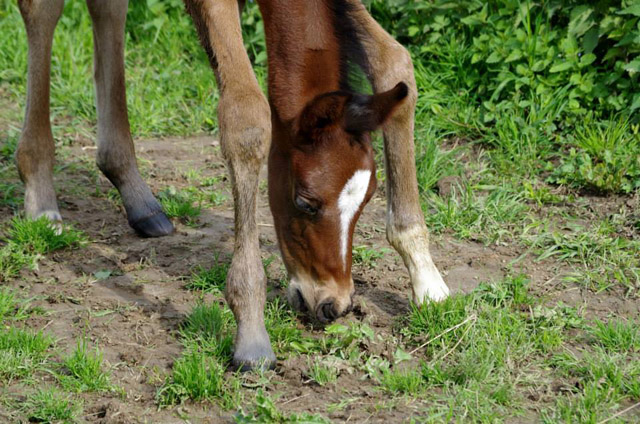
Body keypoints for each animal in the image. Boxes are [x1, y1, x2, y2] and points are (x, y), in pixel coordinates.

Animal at [13, 0, 444, 372]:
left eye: (368, 200)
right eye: (305, 202)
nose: (333, 304)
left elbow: (396, 63)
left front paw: (426, 278)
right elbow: (248, 121)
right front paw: (251, 332)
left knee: (107, 6)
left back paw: (136, 196)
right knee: (42, 10)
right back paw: (41, 194)